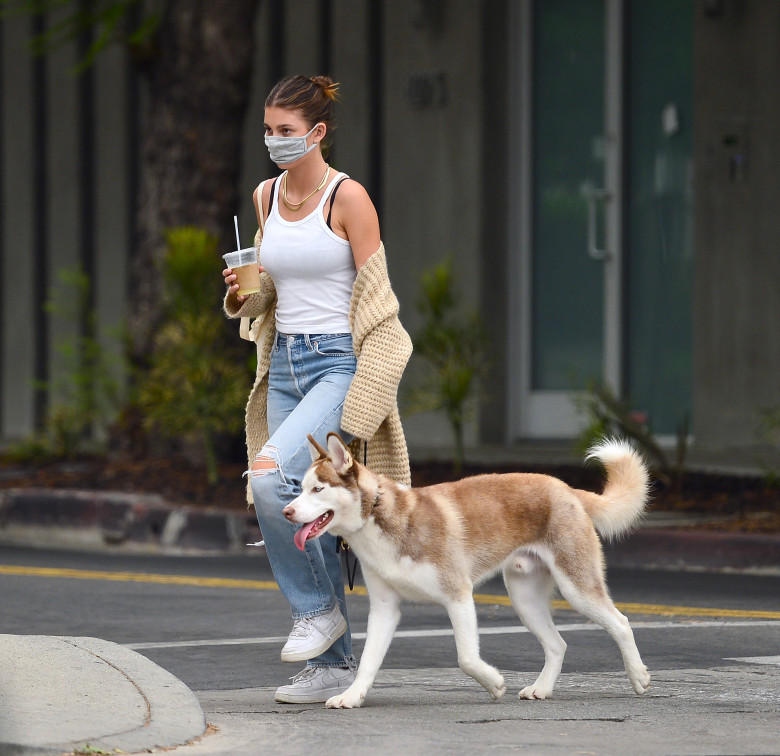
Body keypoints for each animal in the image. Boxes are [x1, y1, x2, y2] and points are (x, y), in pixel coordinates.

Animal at [282, 432, 652, 708]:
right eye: (300, 489)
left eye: (318, 489)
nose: (286, 512)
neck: (380, 517)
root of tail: (565, 488)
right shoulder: (385, 609)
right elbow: (369, 661)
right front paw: (352, 696)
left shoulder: (458, 595)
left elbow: (466, 659)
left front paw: (495, 683)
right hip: (525, 599)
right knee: (557, 644)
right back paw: (542, 688)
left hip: (577, 587)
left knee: (621, 623)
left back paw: (638, 676)